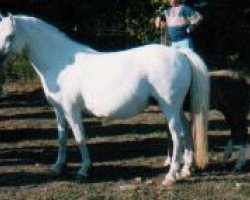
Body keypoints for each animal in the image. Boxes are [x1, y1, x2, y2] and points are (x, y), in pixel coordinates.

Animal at [0, 13, 209, 186]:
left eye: (11, 36)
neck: (59, 61)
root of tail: (180, 54)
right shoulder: (59, 110)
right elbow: (61, 137)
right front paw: (58, 166)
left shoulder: (71, 110)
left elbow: (79, 137)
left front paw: (84, 170)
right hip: (176, 108)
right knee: (187, 132)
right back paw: (185, 170)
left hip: (170, 108)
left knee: (177, 136)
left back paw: (170, 176)